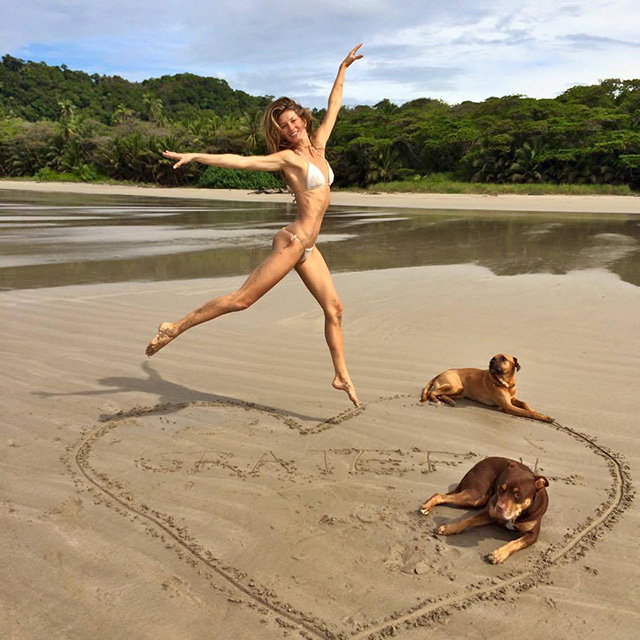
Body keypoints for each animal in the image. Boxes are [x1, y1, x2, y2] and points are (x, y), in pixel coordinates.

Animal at [420, 352, 552, 422]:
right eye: (493, 358)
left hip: (459, 392)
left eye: (503, 358)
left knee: (441, 394)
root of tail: (439, 374)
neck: (506, 383)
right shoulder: (508, 406)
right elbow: (528, 413)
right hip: (454, 386)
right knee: (432, 393)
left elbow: (525, 404)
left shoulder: (513, 399)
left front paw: (537, 411)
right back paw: (437, 400)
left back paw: (449, 401)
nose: (491, 361)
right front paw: (545, 418)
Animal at [420, 456, 552, 564]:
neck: (518, 514)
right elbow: (467, 520)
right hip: (476, 496)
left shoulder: (532, 535)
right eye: (501, 488)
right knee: (439, 495)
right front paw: (449, 528)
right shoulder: (488, 513)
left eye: (518, 495)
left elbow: (515, 542)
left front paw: (498, 554)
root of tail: (478, 463)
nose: (498, 507)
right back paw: (426, 507)